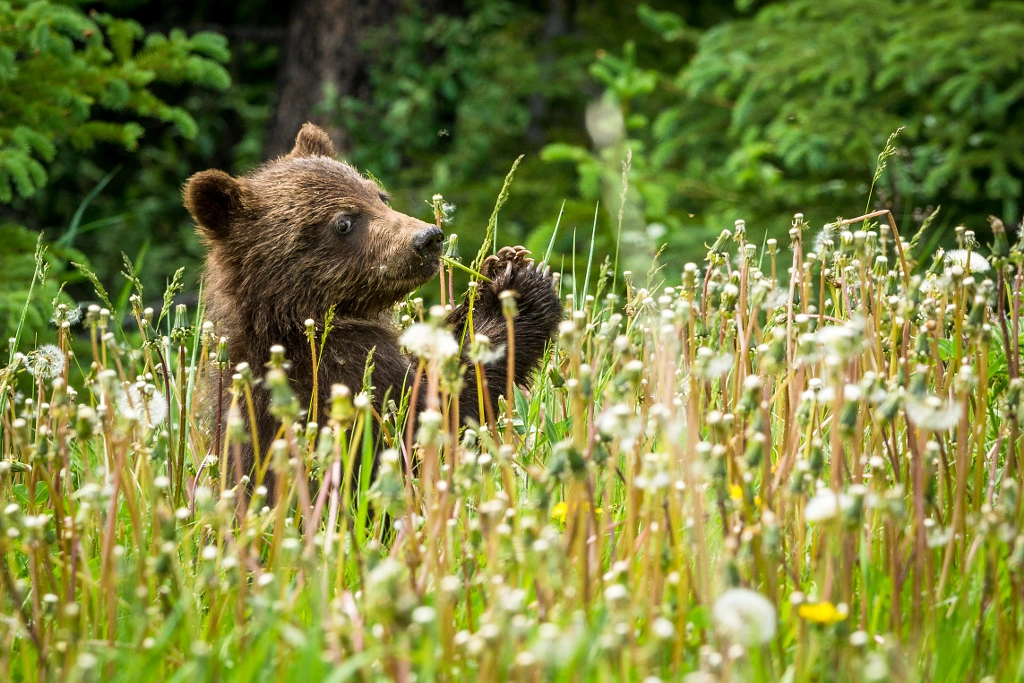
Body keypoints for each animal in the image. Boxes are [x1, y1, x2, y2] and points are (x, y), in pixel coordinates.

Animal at [188, 124, 565, 497]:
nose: (428, 238)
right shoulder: (342, 377)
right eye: (344, 222)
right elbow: (435, 416)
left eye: (379, 196)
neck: (289, 319)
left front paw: (499, 266)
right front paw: (518, 290)